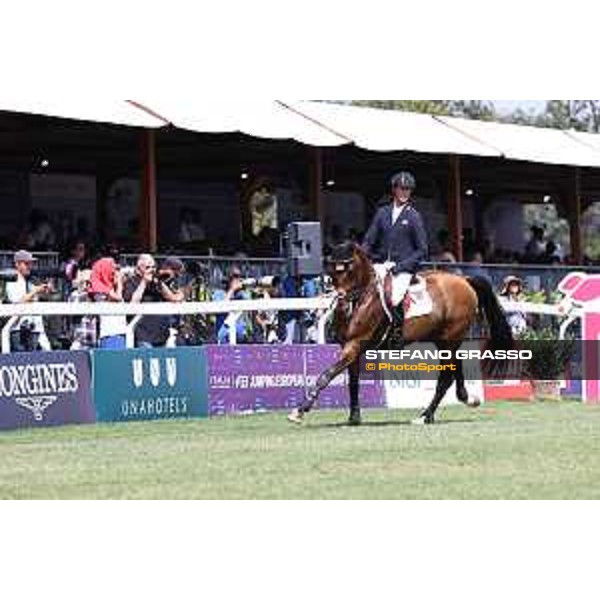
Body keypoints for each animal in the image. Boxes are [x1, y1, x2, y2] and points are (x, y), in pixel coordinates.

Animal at [288, 244, 512, 426]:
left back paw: (425, 416)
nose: (341, 303)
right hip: (443, 340)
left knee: (445, 378)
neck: (361, 298)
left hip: (450, 339)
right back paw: (466, 400)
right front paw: (354, 417)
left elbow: (326, 375)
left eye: (349, 269)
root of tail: (464, 280)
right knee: (453, 372)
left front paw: (299, 411)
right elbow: (353, 383)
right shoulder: (349, 347)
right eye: (332, 270)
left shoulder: (355, 345)